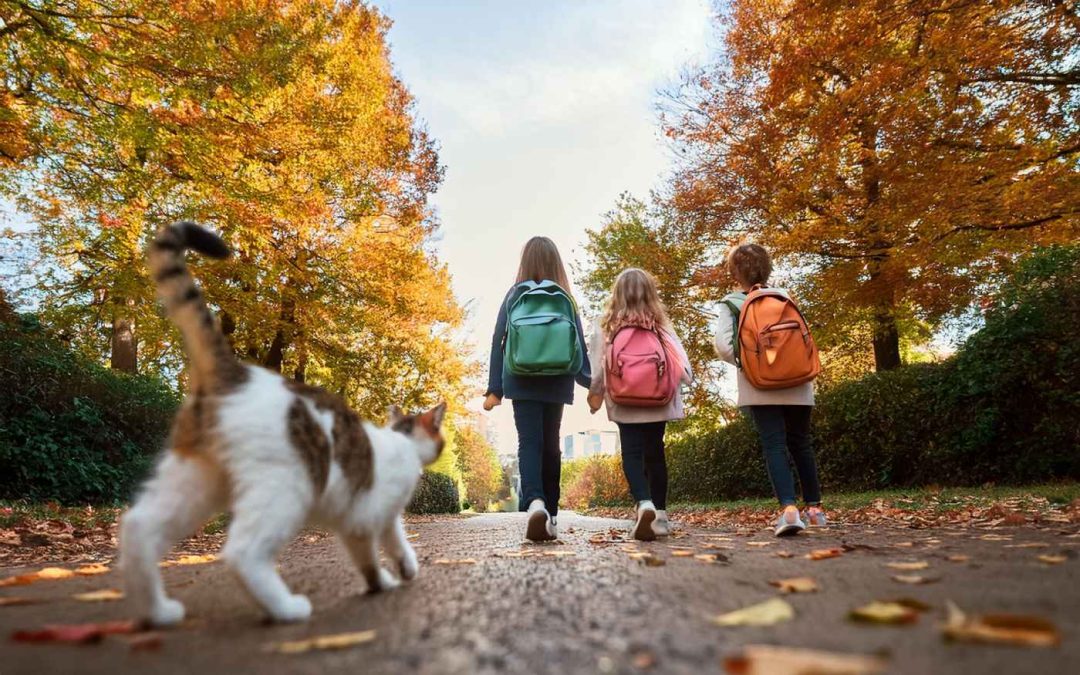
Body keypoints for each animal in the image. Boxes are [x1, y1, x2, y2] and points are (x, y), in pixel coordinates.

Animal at [121, 221, 447, 626]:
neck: (402, 441)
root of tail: (233, 371)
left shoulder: (366, 519)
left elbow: (381, 550)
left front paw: (391, 576)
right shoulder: (372, 516)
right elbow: (382, 551)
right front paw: (393, 577)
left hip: (195, 479)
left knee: (138, 528)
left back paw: (158, 611)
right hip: (285, 486)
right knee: (242, 551)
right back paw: (285, 608)